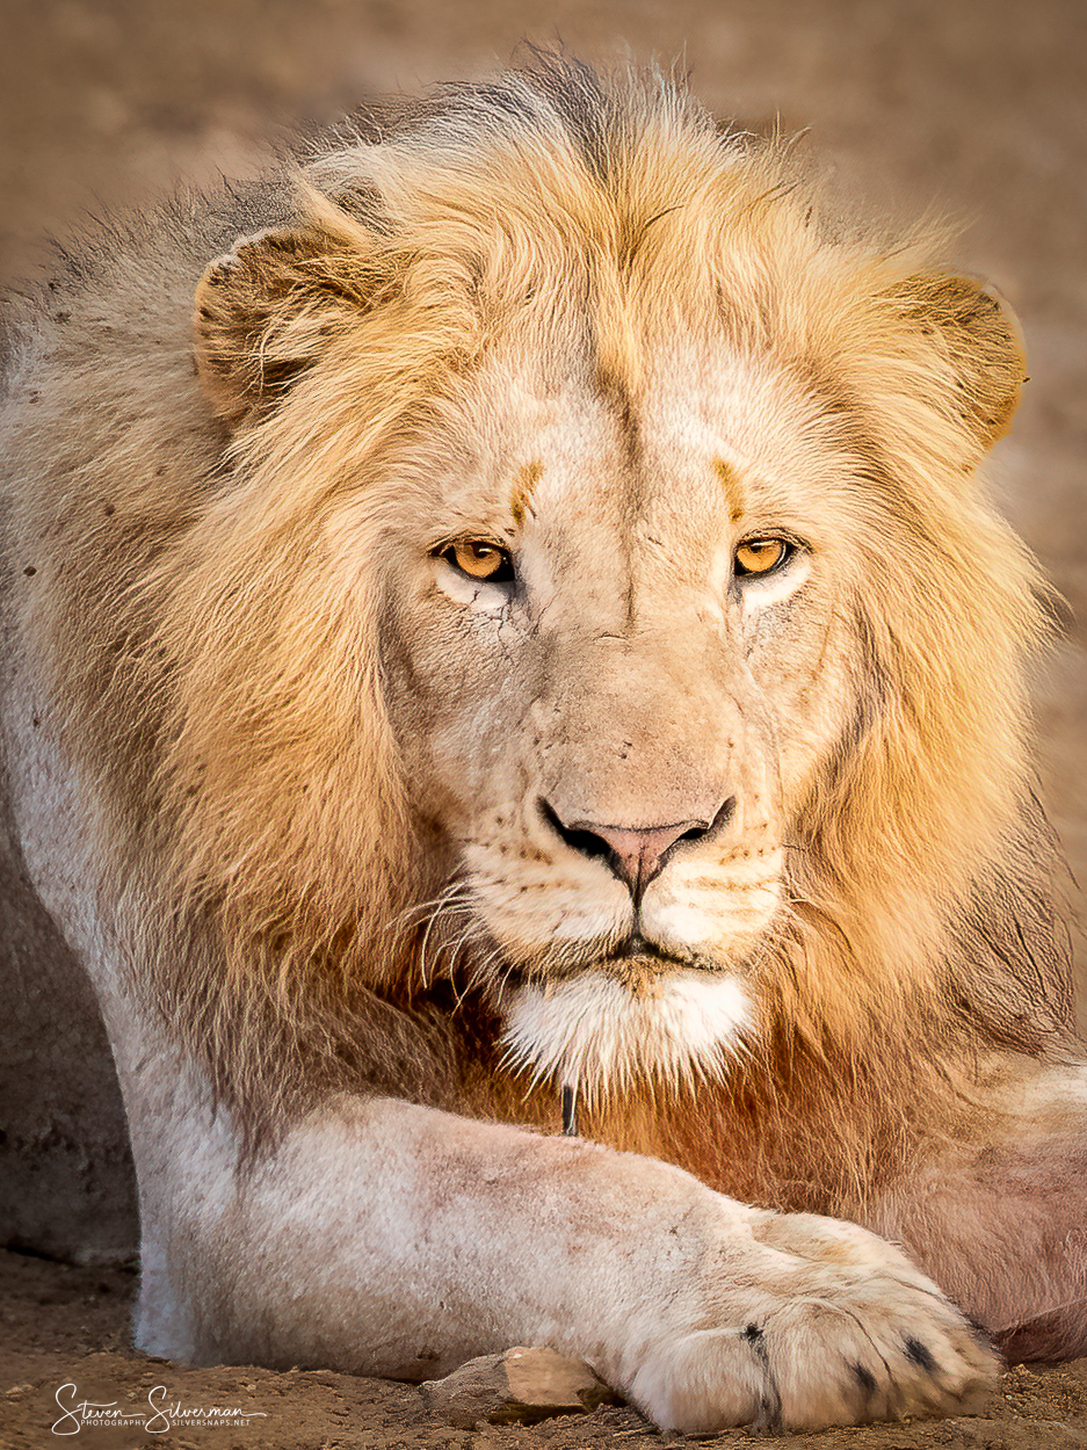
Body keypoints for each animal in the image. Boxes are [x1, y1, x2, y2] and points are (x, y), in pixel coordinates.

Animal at [1, 53, 1085, 1434]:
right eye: (478, 561)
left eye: (759, 554)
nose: (641, 841)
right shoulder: (227, 1183)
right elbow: (547, 1191)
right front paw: (802, 1303)